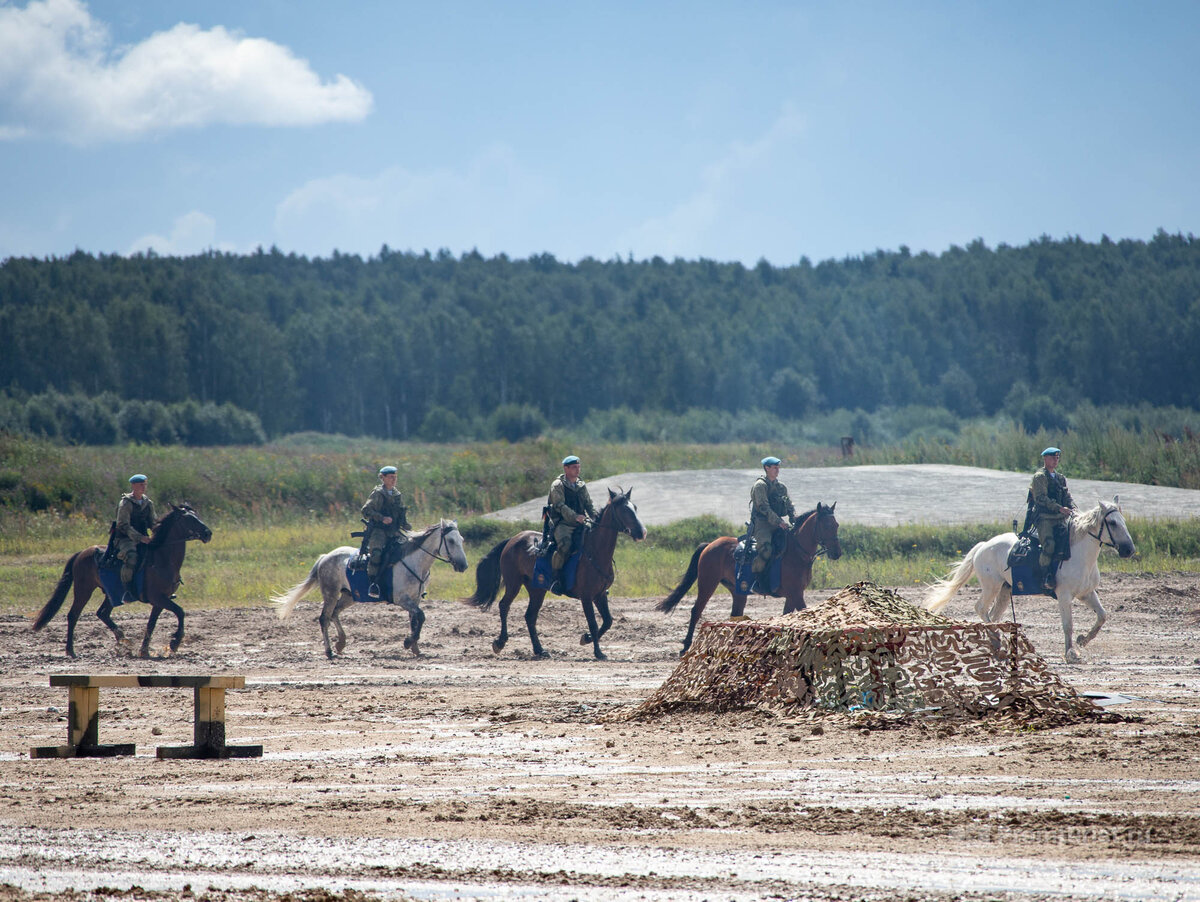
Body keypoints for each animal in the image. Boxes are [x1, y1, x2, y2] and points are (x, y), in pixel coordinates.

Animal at [32, 503, 216, 657]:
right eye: (189, 519)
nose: (208, 533)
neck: (161, 559)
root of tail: (82, 553)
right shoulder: (159, 598)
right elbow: (180, 612)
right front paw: (174, 643)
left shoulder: (160, 601)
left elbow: (151, 624)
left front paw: (144, 651)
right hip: (83, 590)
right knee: (73, 615)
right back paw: (71, 650)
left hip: (110, 594)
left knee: (102, 613)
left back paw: (123, 640)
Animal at [273, 518, 468, 657]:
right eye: (451, 541)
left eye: (461, 539)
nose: (463, 565)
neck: (413, 561)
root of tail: (325, 557)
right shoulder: (402, 599)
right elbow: (421, 616)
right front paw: (408, 643)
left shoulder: (415, 599)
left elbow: (415, 619)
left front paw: (415, 648)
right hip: (330, 593)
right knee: (324, 618)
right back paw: (329, 651)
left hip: (349, 596)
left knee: (335, 613)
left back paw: (341, 643)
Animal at [460, 489, 648, 657]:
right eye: (624, 510)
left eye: (635, 507)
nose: (642, 533)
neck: (594, 551)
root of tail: (513, 539)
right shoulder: (587, 597)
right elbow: (594, 623)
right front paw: (598, 652)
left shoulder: (600, 594)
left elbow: (607, 621)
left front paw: (586, 639)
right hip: (514, 583)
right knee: (504, 606)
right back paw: (500, 642)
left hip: (537, 590)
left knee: (530, 616)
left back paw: (540, 650)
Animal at [657, 501, 844, 657]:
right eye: (826, 525)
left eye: (836, 525)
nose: (837, 553)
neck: (796, 552)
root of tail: (710, 545)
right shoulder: (796, 594)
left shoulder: (792, 596)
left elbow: (788, 618)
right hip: (707, 584)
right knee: (696, 611)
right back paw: (686, 647)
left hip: (738, 591)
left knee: (735, 615)